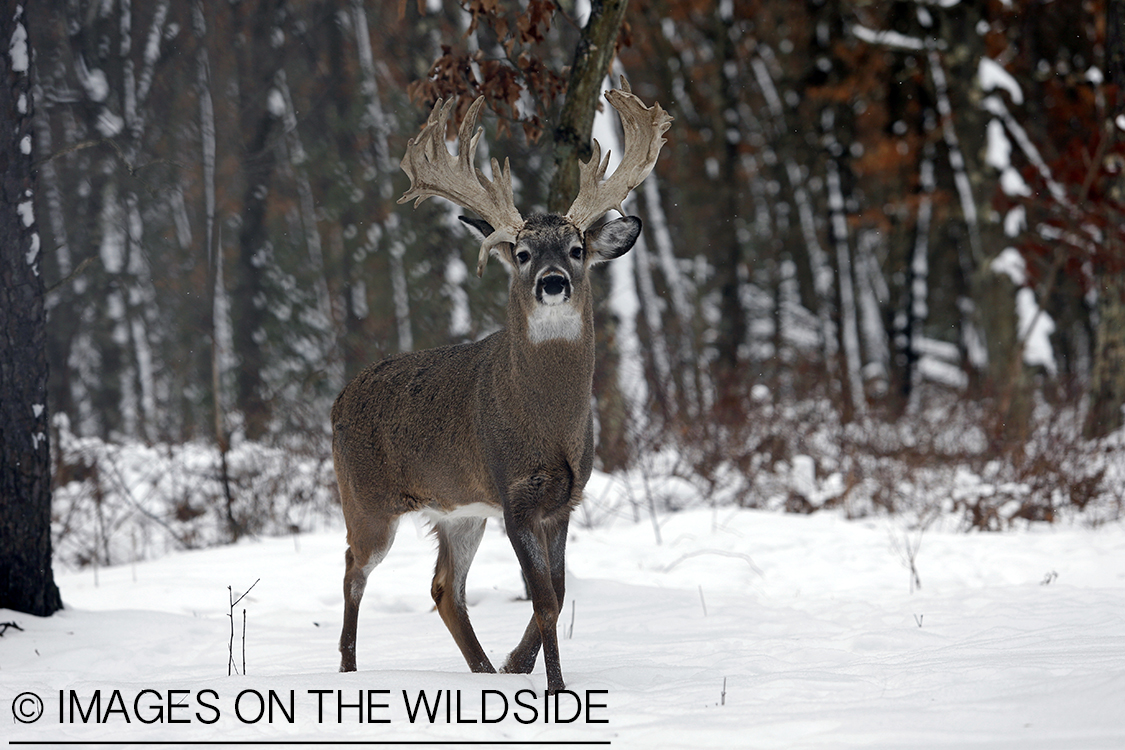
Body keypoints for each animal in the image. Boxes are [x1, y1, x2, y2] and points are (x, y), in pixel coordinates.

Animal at [328, 79, 670, 697]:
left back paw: (485, 672)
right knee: (352, 569)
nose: (553, 282)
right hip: (366, 500)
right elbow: (545, 599)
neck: (549, 424)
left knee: (444, 588)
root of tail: (337, 401)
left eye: (578, 249)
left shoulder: (564, 499)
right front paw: (554, 688)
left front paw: (521, 667)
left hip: (458, 511)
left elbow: (557, 593)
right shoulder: (513, 494)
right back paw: (347, 669)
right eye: (523, 253)